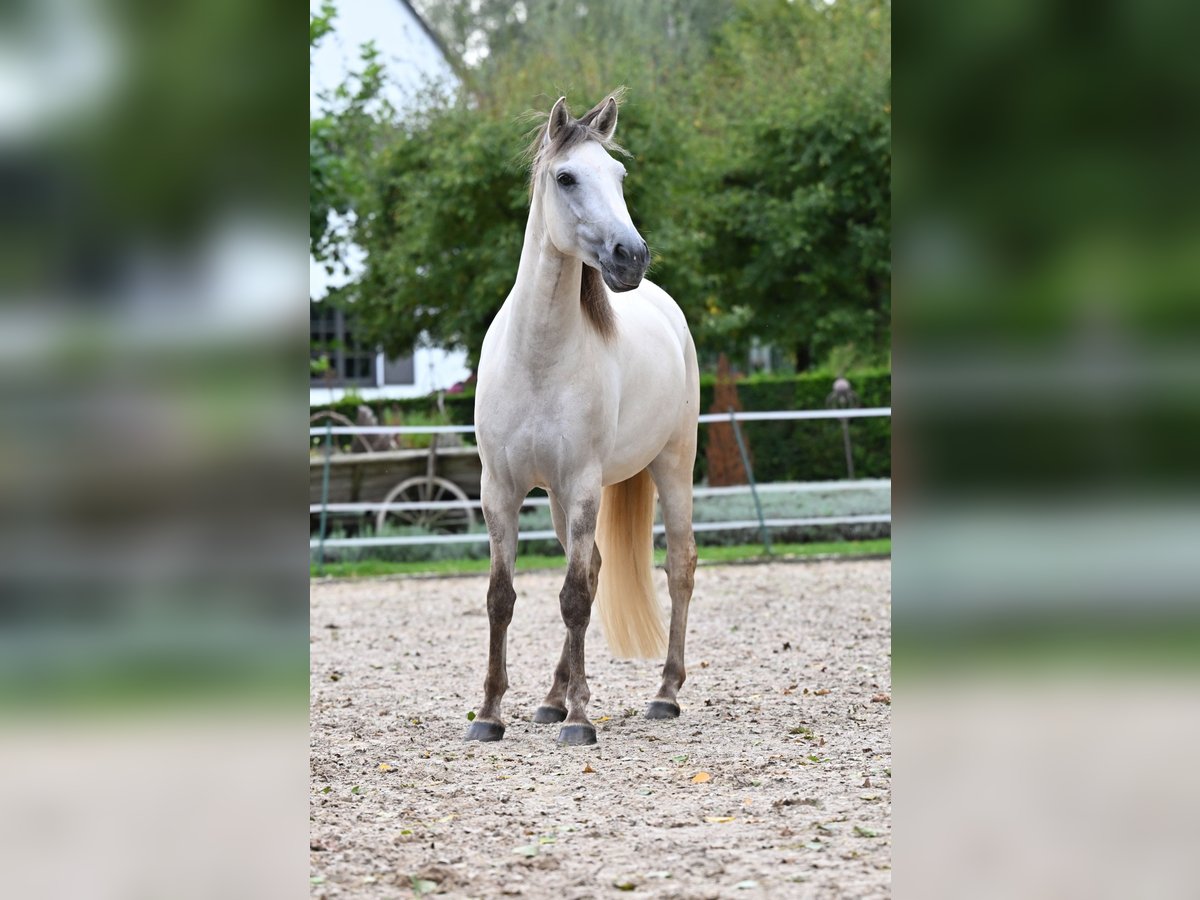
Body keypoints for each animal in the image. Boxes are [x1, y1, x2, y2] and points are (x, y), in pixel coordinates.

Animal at [463, 93, 700, 748]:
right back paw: (552, 697)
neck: (539, 357)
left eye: (618, 176)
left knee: (678, 568)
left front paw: (580, 721)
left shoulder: (585, 484)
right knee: (592, 569)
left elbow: (573, 597)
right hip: (558, 496)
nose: (631, 256)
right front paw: (491, 714)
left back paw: (665, 694)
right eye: (566, 177)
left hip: (672, 467)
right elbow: (502, 597)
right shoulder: (502, 490)